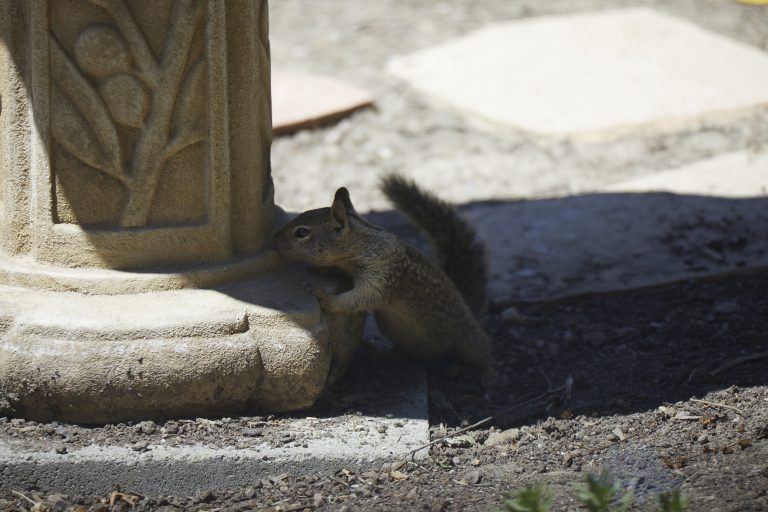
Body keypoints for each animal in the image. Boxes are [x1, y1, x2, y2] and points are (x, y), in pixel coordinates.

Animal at [273, 174, 495, 382]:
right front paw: (324, 269)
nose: (274, 238)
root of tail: (469, 309)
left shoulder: (383, 272)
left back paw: (479, 372)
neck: (361, 245)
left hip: (469, 338)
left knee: (484, 355)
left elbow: (362, 298)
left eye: (302, 232)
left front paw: (323, 297)